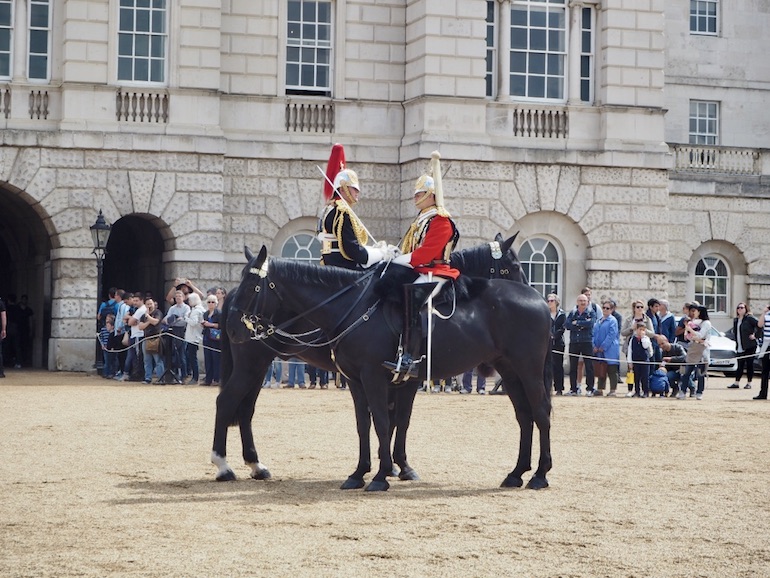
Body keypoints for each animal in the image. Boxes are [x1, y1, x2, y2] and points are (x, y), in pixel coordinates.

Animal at [210, 234, 528, 482]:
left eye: (254, 285)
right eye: (513, 266)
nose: (530, 293)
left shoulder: (393, 379)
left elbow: (390, 419)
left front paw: (393, 466)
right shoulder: (396, 376)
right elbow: (393, 419)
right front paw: (396, 466)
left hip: (258, 364)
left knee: (246, 409)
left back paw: (255, 465)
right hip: (252, 363)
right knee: (227, 402)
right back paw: (223, 466)